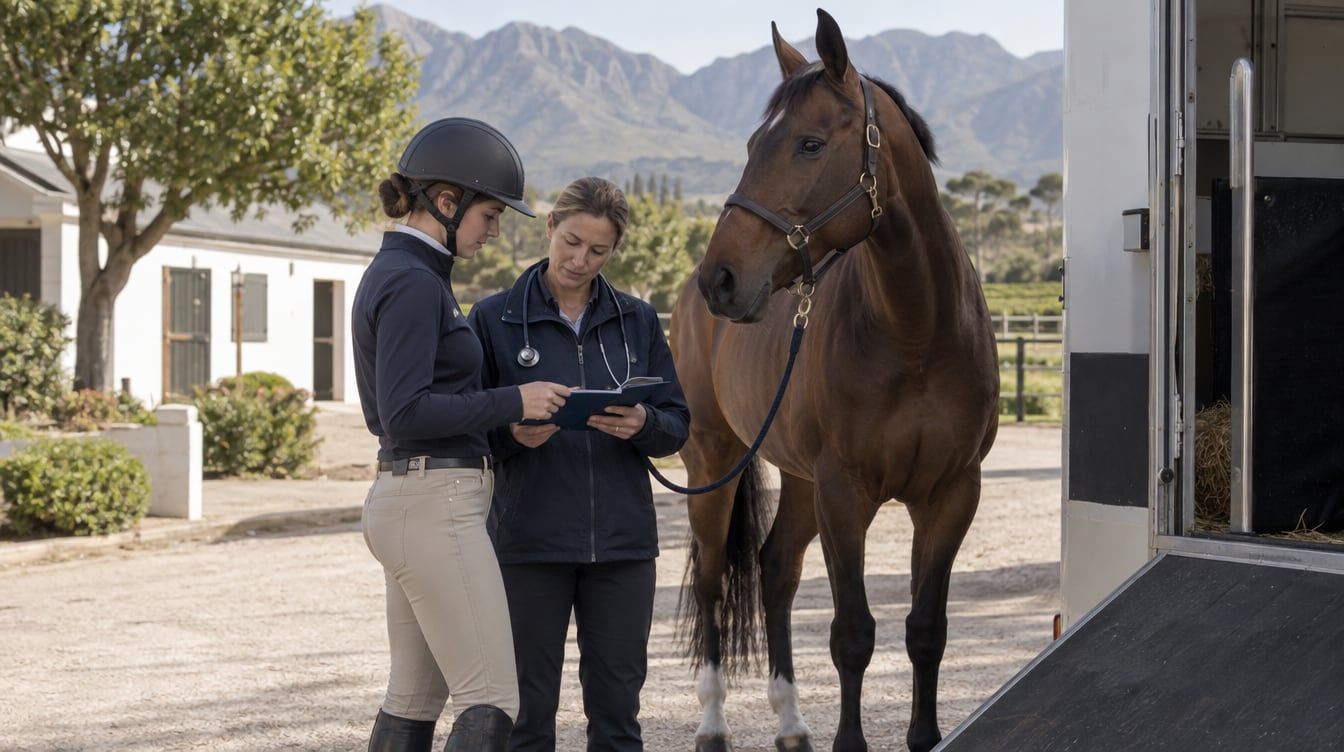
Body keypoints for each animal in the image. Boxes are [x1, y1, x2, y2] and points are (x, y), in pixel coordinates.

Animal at [668, 10, 1000, 752]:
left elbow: (925, 631)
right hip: (714, 458)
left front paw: (924, 735)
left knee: (775, 572)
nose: (720, 279)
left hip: (798, 479)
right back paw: (711, 722)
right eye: (753, 143)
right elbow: (853, 634)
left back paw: (792, 724)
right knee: (712, 581)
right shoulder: (846, 494)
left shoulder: (950, 494)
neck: (916, 331)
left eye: (810, 144)